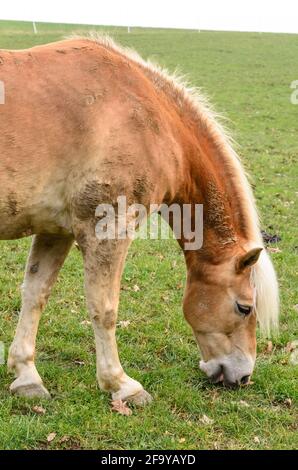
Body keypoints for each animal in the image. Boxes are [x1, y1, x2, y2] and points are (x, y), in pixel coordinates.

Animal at [0, 35, 280, 404]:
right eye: (245, 307)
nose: (244, 375)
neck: (149, 119)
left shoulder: (55, 230)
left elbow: (36, 293)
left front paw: (26, 375)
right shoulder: (109, 228)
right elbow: (104, 308)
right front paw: (120, 384)